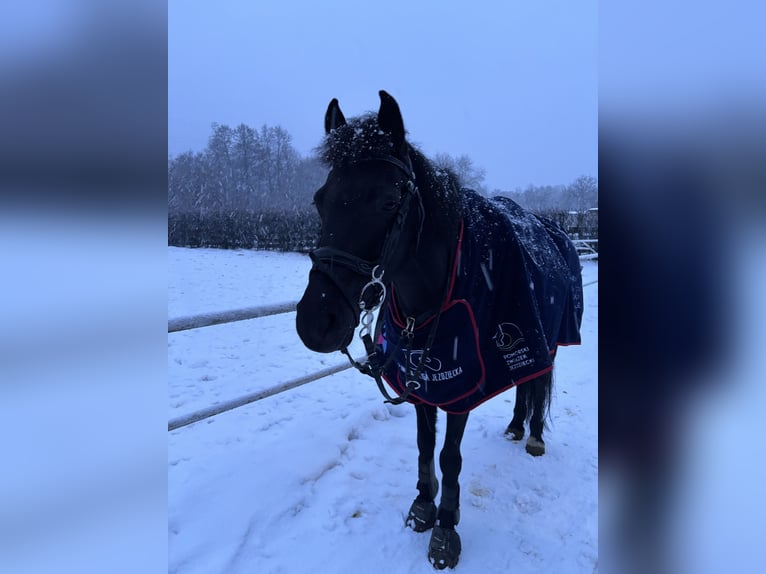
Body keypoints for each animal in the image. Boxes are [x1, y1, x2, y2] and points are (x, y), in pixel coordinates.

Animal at [295, 91, 583, 569]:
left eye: (388, 202)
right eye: (320, 199)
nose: (316, 323)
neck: (431, 297)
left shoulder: (459, 387)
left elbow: (449, 457)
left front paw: (446, 528)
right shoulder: (422, 384)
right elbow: (423, 444)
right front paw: (422, 507)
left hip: (545, 342)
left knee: (536, 381)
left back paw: (534, 436)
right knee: (524, 386)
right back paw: (515, 426)